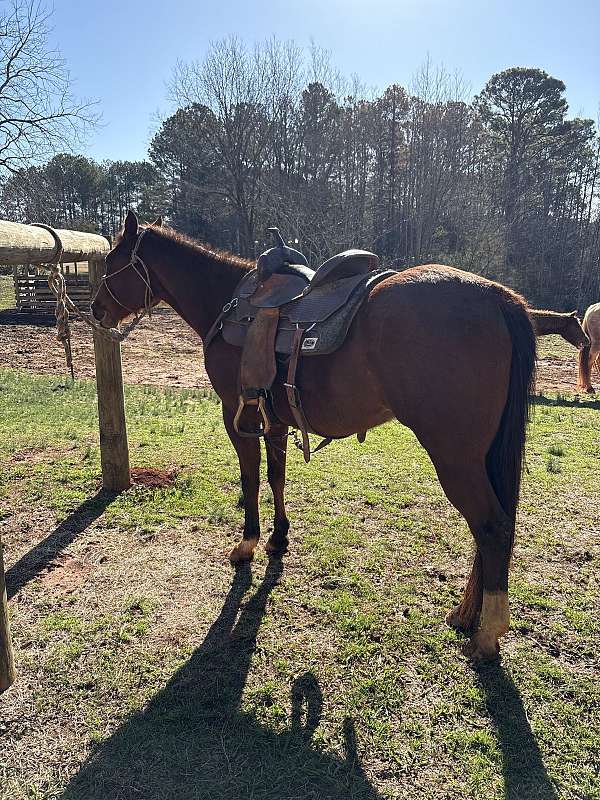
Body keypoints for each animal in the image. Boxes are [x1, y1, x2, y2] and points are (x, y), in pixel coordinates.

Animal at [90, 211, 536, 661]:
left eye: (112, 262)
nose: (95, 309)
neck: (226, 302)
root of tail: (498, 297)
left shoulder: (236, 416)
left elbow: (250, 480)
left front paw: (248, 544)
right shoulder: (272, 420)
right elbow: (277, 476)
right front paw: (278, 538)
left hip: (455, 456)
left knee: (492, 526)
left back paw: (488, 632)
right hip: (481, 457)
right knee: (493, 527)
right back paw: (466, 614)